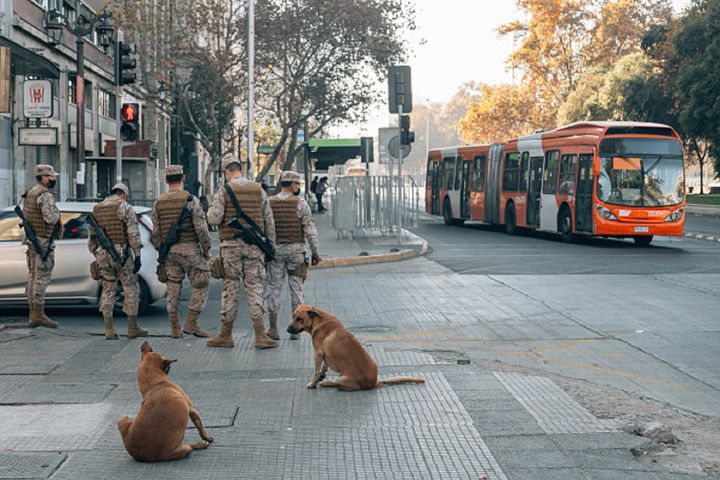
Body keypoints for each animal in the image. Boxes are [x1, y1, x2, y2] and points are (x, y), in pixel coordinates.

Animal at [288, 306, 428, 392]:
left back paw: (328, 383)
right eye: (293, 316)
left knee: (339, 386)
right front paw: (322, 374)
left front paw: (313, 383)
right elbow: (324, 366)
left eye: (300, 319)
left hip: (342, 378)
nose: (287, 330)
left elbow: (315, 371)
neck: (319, 321)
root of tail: (374, 383)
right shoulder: (324, 355)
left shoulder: (318, 354)